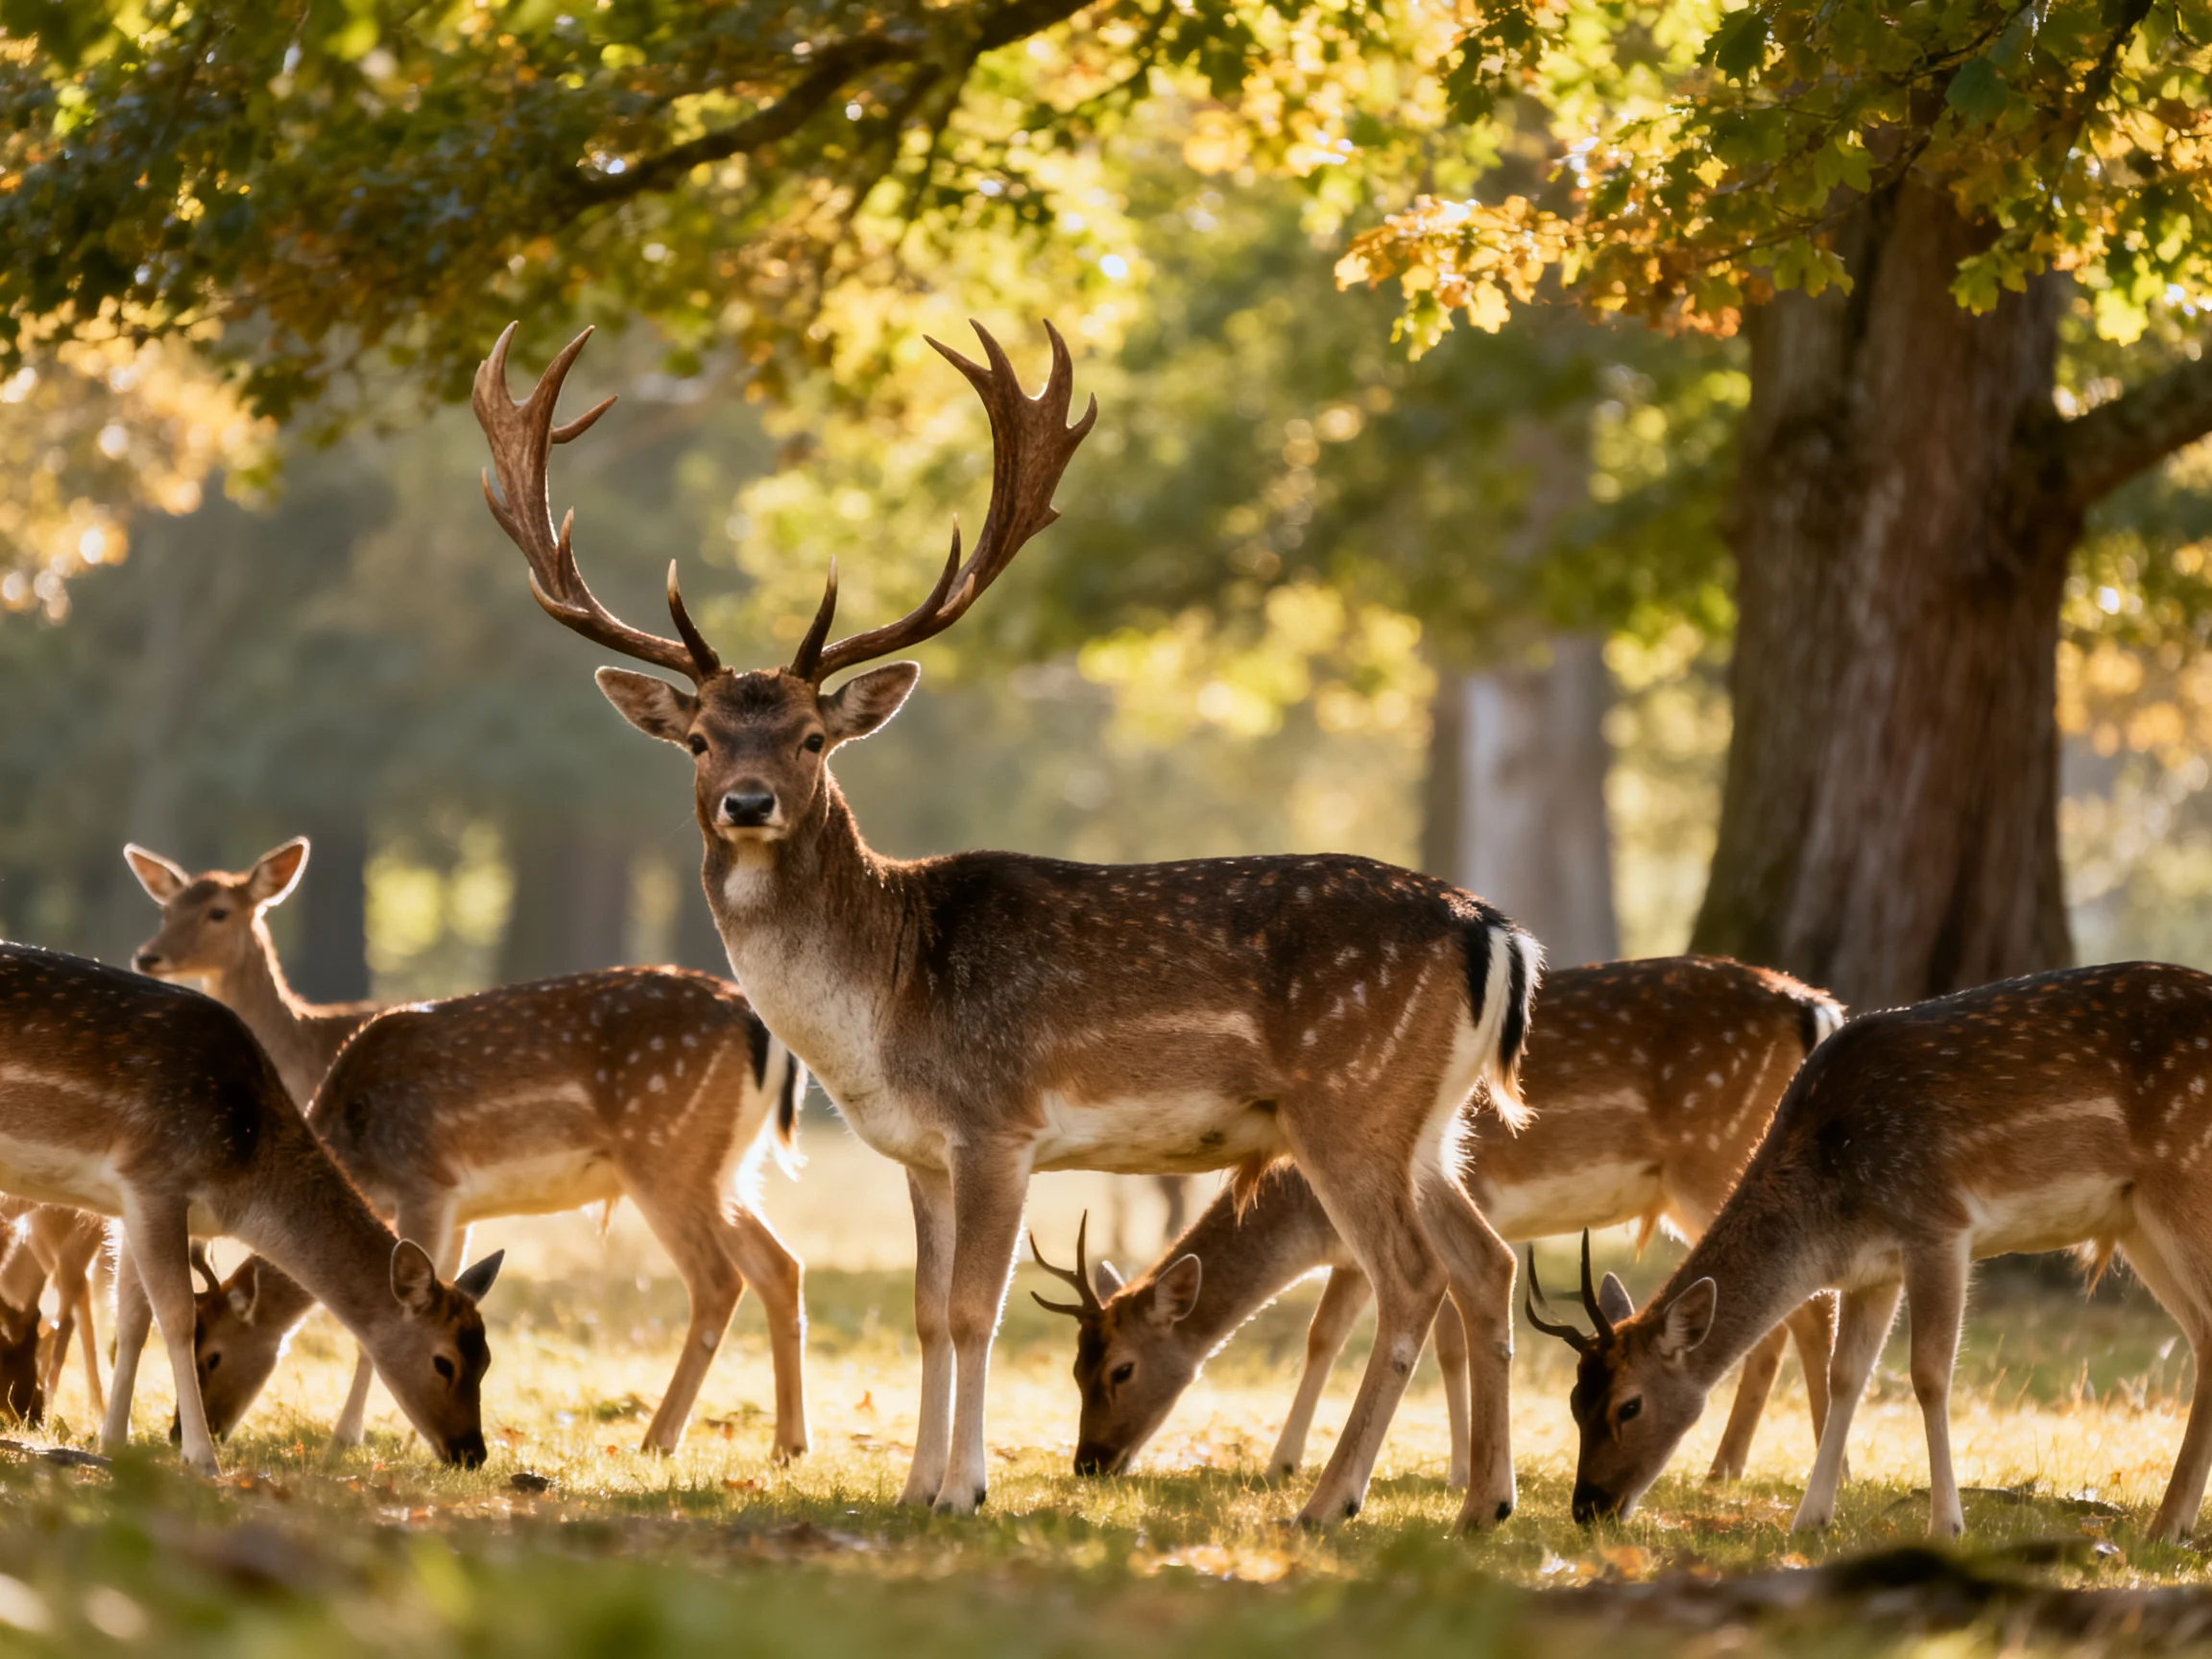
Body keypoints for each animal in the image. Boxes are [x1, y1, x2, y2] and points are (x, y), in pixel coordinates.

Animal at [0, 941, 504, 1474]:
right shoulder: (151, 1178)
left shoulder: (123, 1203)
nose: (471, 1452)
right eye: (444, 1362)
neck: (241, 1178)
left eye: (487, 1359)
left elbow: (132, 1319)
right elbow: (175, 1318)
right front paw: (201, 1459)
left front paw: (113, 1443)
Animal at [177, 966, 810, 1459]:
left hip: (665, 1155)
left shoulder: (426, 1181)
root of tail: (761, 1032)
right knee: (780, 1265)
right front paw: (414, 1438)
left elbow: (377, 1326)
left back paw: (659, 1438)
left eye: (211, 1356)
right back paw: (789, 1445)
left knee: (719, 1280)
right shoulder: (459, 1206)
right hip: (727, 1170)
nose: (182, 1431)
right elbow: (447, 1291)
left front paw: (347, 1440)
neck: (360, 1150)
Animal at [472, 319, 1542, 1530]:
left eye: (810, 738)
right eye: (698, 739)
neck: (879, 1011)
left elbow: (976, 1308)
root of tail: (1495, 932)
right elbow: (927, 1309)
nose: (748, 803)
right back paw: (1484, 1505)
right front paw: (912, 1486)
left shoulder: (996, 1123)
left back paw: (1330, 1503)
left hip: (1347, 1102)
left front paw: (964, 1490)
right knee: (1487, 1265)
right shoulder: (922, 1150)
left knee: (1412, 1276)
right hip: (1431, 1121)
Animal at [1032, 956, 1845, 1486]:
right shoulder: (1348, 1253)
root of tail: (1814, 1007)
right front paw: (1285, 1461)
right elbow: (1325, 1334)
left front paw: (1458, 1471)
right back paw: (1737, 1466)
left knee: (1808, 1306)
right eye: (1072, 1366)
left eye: (1120, 1369)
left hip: (1720, 1158)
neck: (1303, 1208)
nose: (1090, 1463)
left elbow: (1447, 1340)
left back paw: (1774, 1463)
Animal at [1525, 960, 2212, 1543]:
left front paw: (1946, 1525)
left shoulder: (1938, 1222)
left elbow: (1928, 1375)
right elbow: (1847, 1373)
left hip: (2182, 1182)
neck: (1832, 1214)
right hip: (2136, 1225)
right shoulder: (1871, 1271)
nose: (1589, 1508)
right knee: (2203, 1334)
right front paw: (1810, 1518)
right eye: (1575, 1402)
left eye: (1629, 1405)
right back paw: (2172, 1525)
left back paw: (2164, 1525)